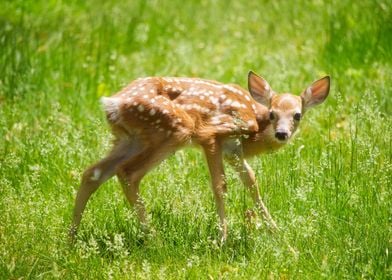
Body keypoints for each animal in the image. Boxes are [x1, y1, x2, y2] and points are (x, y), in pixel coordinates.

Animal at [69, 71, 330, 242]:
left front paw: (278, 235)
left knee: (93, 172)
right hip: (174, 129)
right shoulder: (212, 135)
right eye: (273, 113)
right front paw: (222, 239)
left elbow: (252, 182)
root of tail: (112, 103)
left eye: (297, 115)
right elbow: (220, 185)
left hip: (131, 139)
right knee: (128, 172)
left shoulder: (233, 151)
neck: (255, 126)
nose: (281, 134)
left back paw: (71, 239)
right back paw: (155, 240)